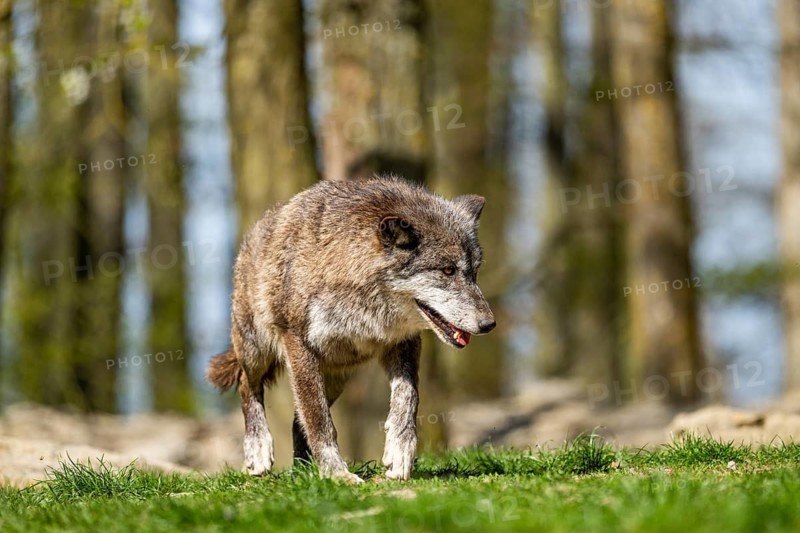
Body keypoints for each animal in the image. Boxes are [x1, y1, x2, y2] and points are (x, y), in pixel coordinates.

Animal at [206, 176, 495, 483]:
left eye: (474, 272)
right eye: (447, 271)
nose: (489, 324)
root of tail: (256, 231)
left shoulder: (403, 342)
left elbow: (408, 396)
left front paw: (400, 451)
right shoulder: (298, 343)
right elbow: (319, 421)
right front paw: (336, 474)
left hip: (336, 376)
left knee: (297, 421)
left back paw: (304, 470)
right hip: (256, 351)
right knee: (248, 386)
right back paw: (258, 450)